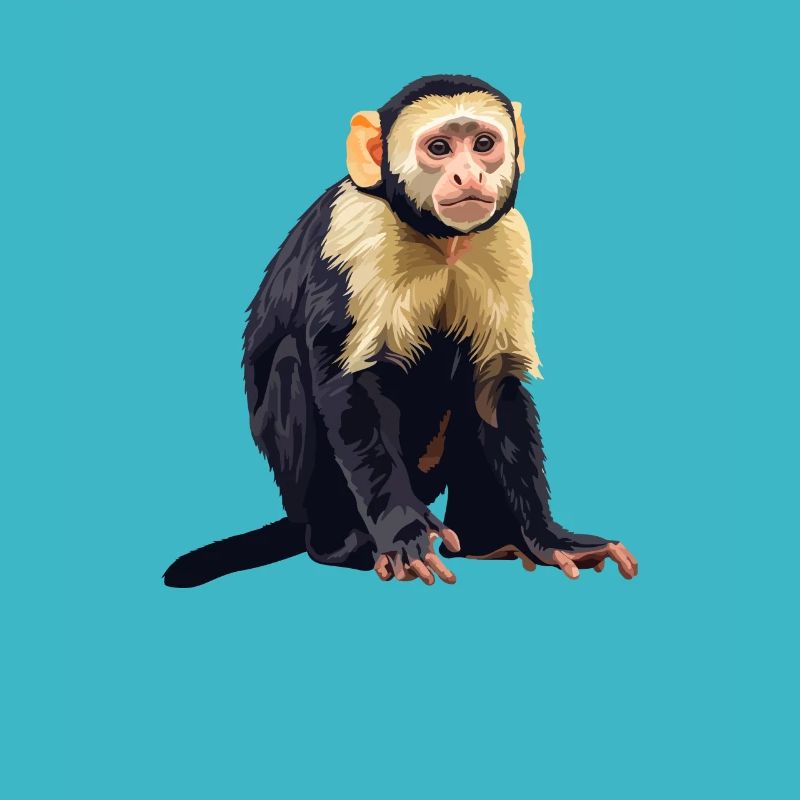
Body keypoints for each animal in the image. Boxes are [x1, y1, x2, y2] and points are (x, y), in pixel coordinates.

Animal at [163, 74, 638, 588]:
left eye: (483, 144)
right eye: (439, 148)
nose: (469, 176)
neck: (437, 238)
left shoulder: (507, 236)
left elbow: (495, 386)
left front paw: (548, 539)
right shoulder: (355, 229)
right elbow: (348, 383)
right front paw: (404, 531)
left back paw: (489, 541)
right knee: (293, 362)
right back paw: (340, 545)